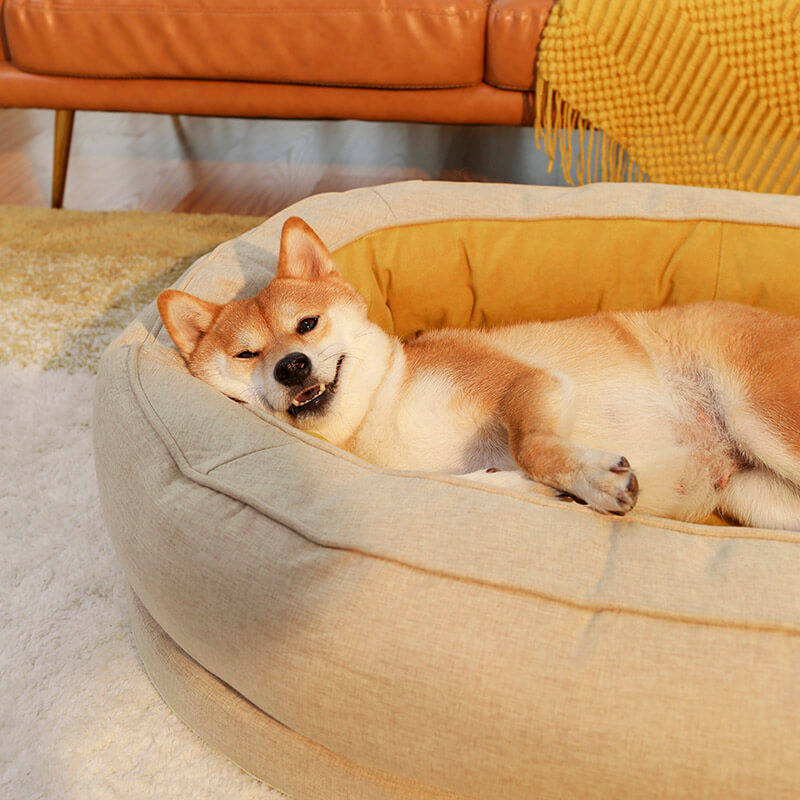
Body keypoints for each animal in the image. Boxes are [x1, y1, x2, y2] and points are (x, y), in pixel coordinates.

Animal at [159, 217, 800, 532]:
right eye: (247, 355)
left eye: (307, 325)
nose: (291, 366)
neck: (382, 411)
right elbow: (479, 480)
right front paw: (537, 490)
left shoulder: (522, 384)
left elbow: (531, 445)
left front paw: (588, 479)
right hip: (755, 496)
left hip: (762, 418)